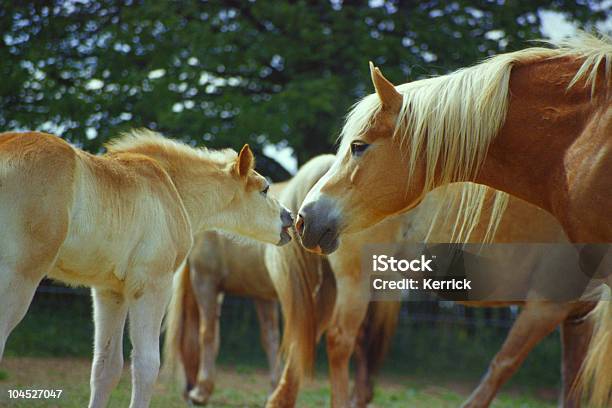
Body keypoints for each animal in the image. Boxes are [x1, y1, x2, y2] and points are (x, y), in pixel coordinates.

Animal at [0, 130, 292, 408]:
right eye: (265, 189)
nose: (289, 217)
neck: (171, 188)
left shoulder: (110, 291)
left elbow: (106, 367)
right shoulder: (152, 285)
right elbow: (147, 365)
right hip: (19, 278)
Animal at [298, 31, 612, 404]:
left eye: (358, 146)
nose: (305, 217)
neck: (583, 138)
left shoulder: (571, 313)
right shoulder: (548, 302)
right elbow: (499, 371)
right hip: (355, 281)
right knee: (340, 343)